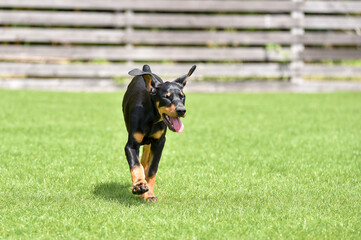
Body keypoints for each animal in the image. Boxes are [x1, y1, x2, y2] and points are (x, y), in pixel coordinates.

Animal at [121, 64, 195, 202]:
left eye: (182, 96)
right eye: (166, 96)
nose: (182, 110)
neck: (151, 117)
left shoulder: (159, 142)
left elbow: (152, 169)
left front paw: (149, 194)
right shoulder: (131, 145)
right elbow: (135, 165)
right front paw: (139, 185)